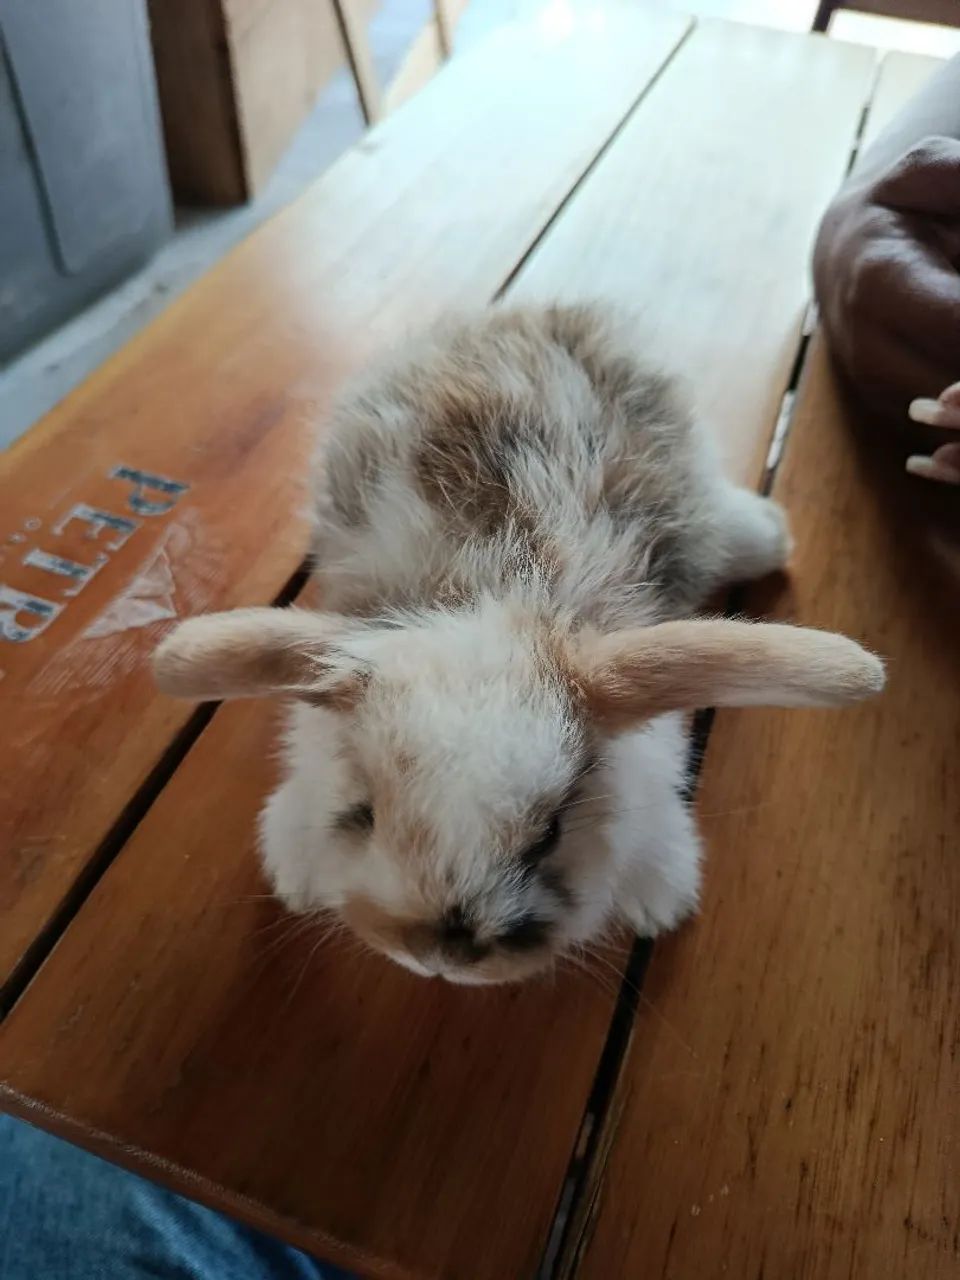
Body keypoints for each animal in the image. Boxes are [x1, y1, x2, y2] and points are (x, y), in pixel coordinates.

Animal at [154, 303, 884, 985]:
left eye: (551, 834)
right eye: (363, 814)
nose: (440, 957)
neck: (497, 589)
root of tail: (531, 316)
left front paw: (659, 900)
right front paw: (295, 875)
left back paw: (771, 535)